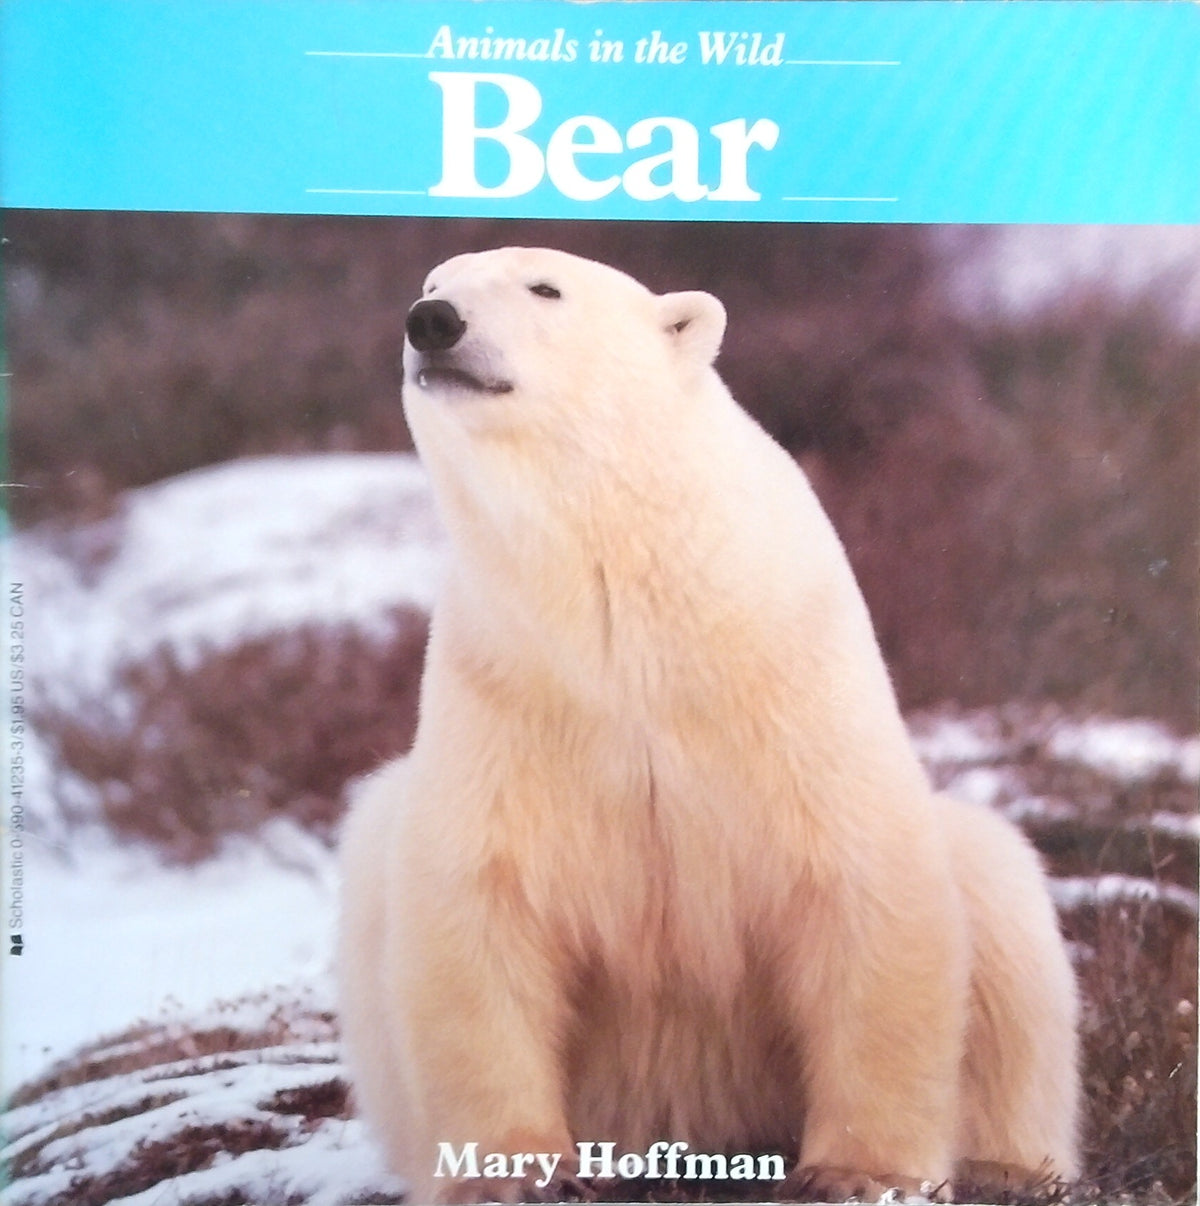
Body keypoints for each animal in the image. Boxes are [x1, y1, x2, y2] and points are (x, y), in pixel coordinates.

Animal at [337, 246, 1080, 1204]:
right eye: (436, 282)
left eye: (545, 288)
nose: (432, 322)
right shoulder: (510, 689)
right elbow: (482, 905)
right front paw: (514, 1171)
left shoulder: (787, 676)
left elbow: (863, 892)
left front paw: (854, 1170)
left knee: (1000, 896)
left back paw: (1008, 1161)